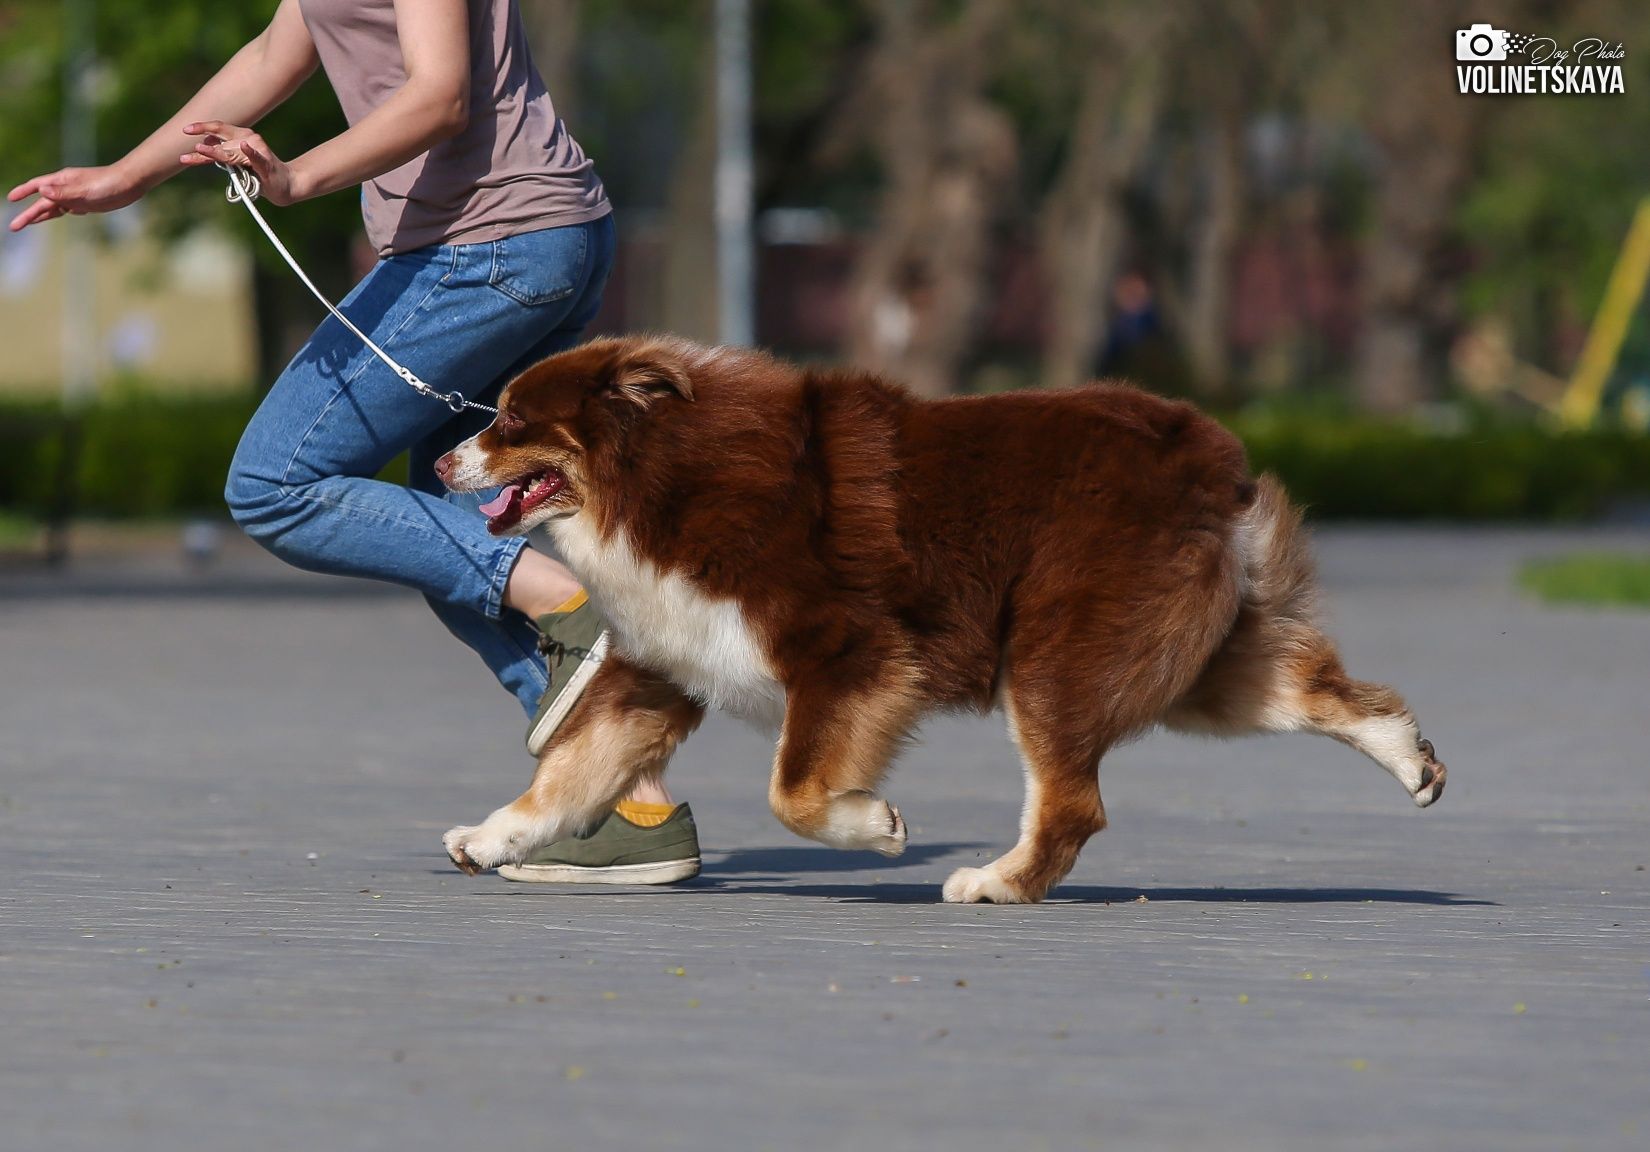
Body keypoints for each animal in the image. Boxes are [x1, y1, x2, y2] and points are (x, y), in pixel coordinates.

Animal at [435, 336, 1445, 904]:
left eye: (512, 420)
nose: (441, 463)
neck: (664, 476)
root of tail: (1209, 453)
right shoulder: (664, 667)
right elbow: (567, 775)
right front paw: (490, 837)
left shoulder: (851, 651)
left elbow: (792, 790)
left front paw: (874, 825)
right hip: (1195, 659)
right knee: (1321, 692)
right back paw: (1412, 759)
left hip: (1053, 654)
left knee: (1073, 801)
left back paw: (997, 885)